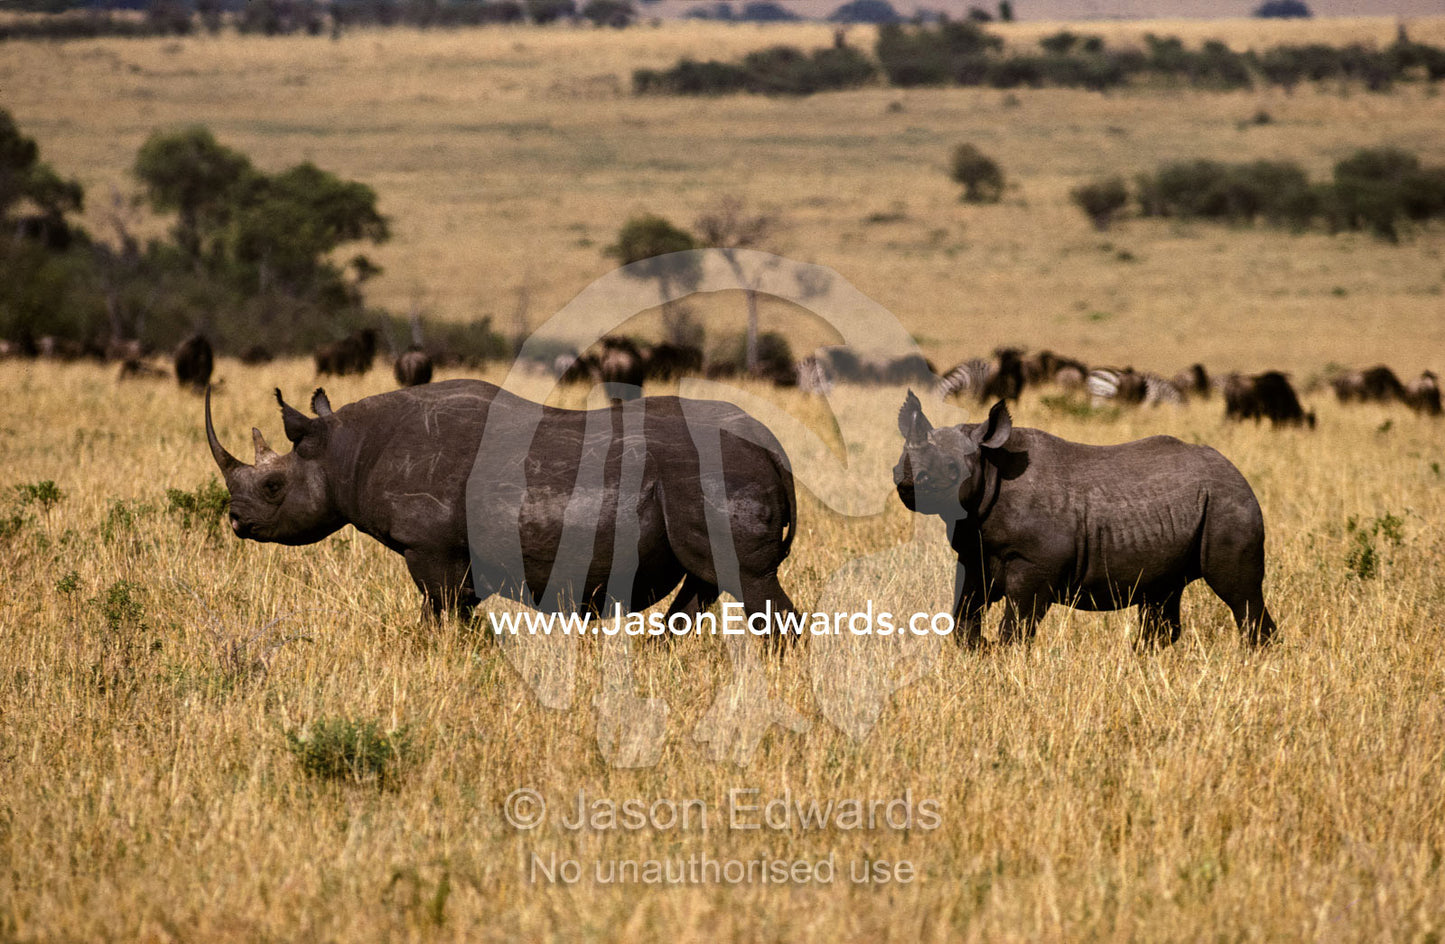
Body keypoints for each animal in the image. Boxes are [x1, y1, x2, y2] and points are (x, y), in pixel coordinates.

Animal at [204, 381, 799, 641]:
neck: (344, 449)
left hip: (716, 473)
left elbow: (441, 615)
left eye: (274, 486)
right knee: (704, 579)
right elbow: (457, 612)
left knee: (746, 578)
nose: (237, 523)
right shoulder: (455, 553)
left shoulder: (429, 547)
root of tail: (773, 445)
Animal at [894, 393, 1276, 649]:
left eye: (952, 469)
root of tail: (1238, 473)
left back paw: (1253, 657)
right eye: (901, 459)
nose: (908, 481)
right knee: (1163, 594)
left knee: (1239, 593)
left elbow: (1017, 626)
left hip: (1228, 503)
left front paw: (1001, 654)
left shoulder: (1034, 562)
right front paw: (981, 649)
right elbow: (964, 616)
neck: (990, 467)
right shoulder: (975, 553)